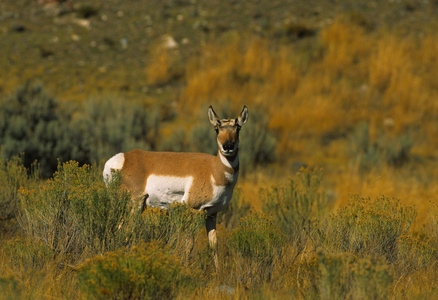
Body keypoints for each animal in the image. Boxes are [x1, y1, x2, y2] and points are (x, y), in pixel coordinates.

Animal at [101, 105, 248, 268]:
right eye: (217, 128)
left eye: (238, 128)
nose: (227, 146)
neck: (214, 170)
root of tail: (123, 159)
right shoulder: (194, 210)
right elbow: (189, 244)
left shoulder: (211, 213)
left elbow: (213, 245)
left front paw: (218, 271)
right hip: (135, 203)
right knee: (127, 230)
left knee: (118, 227)